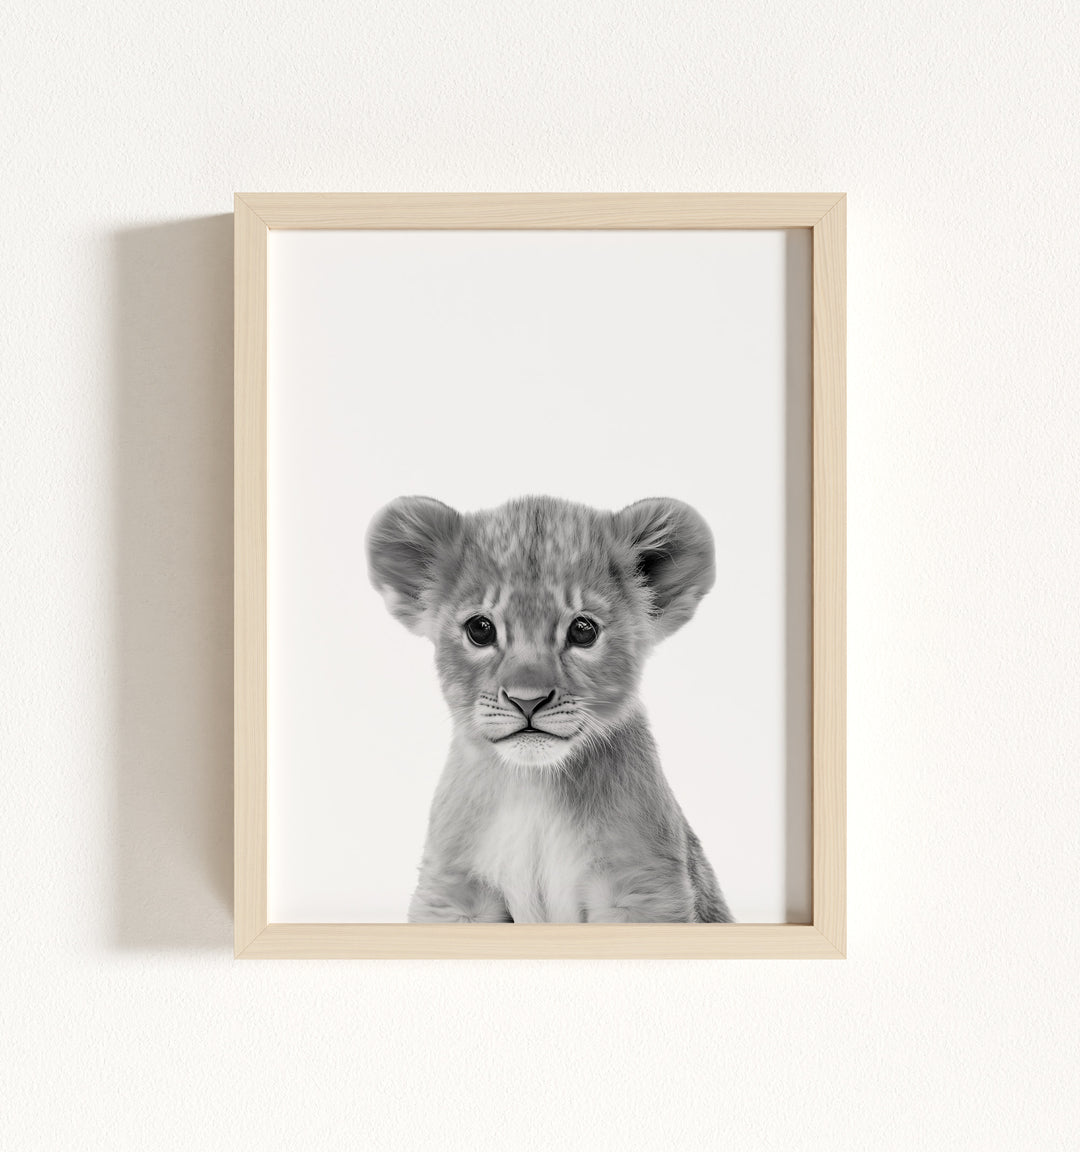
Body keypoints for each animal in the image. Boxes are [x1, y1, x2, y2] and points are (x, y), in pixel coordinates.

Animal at [366, 494, 733, 924]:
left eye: (583, 630)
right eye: (480, 629)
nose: (527, 700)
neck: (534, 787)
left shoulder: (642, 888)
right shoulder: (452, 893)